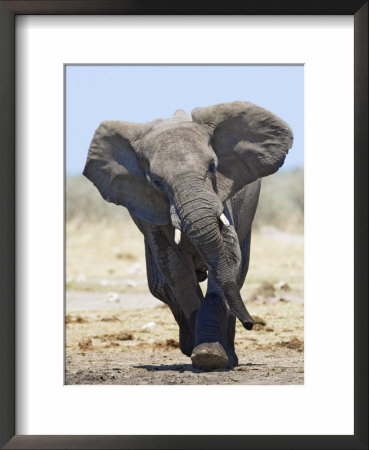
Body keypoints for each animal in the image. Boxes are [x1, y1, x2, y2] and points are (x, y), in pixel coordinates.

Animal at [83, 101, 294, 370]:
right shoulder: (148, 207)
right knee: (161, 285)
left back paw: (228, 356)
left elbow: (228, 257)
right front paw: (203, 354)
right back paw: (189, 345)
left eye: (213, 167)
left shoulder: (223, 196)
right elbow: (175, 269)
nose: (251, 324)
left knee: (238, 274)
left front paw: (211, 356)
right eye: (156, 182)